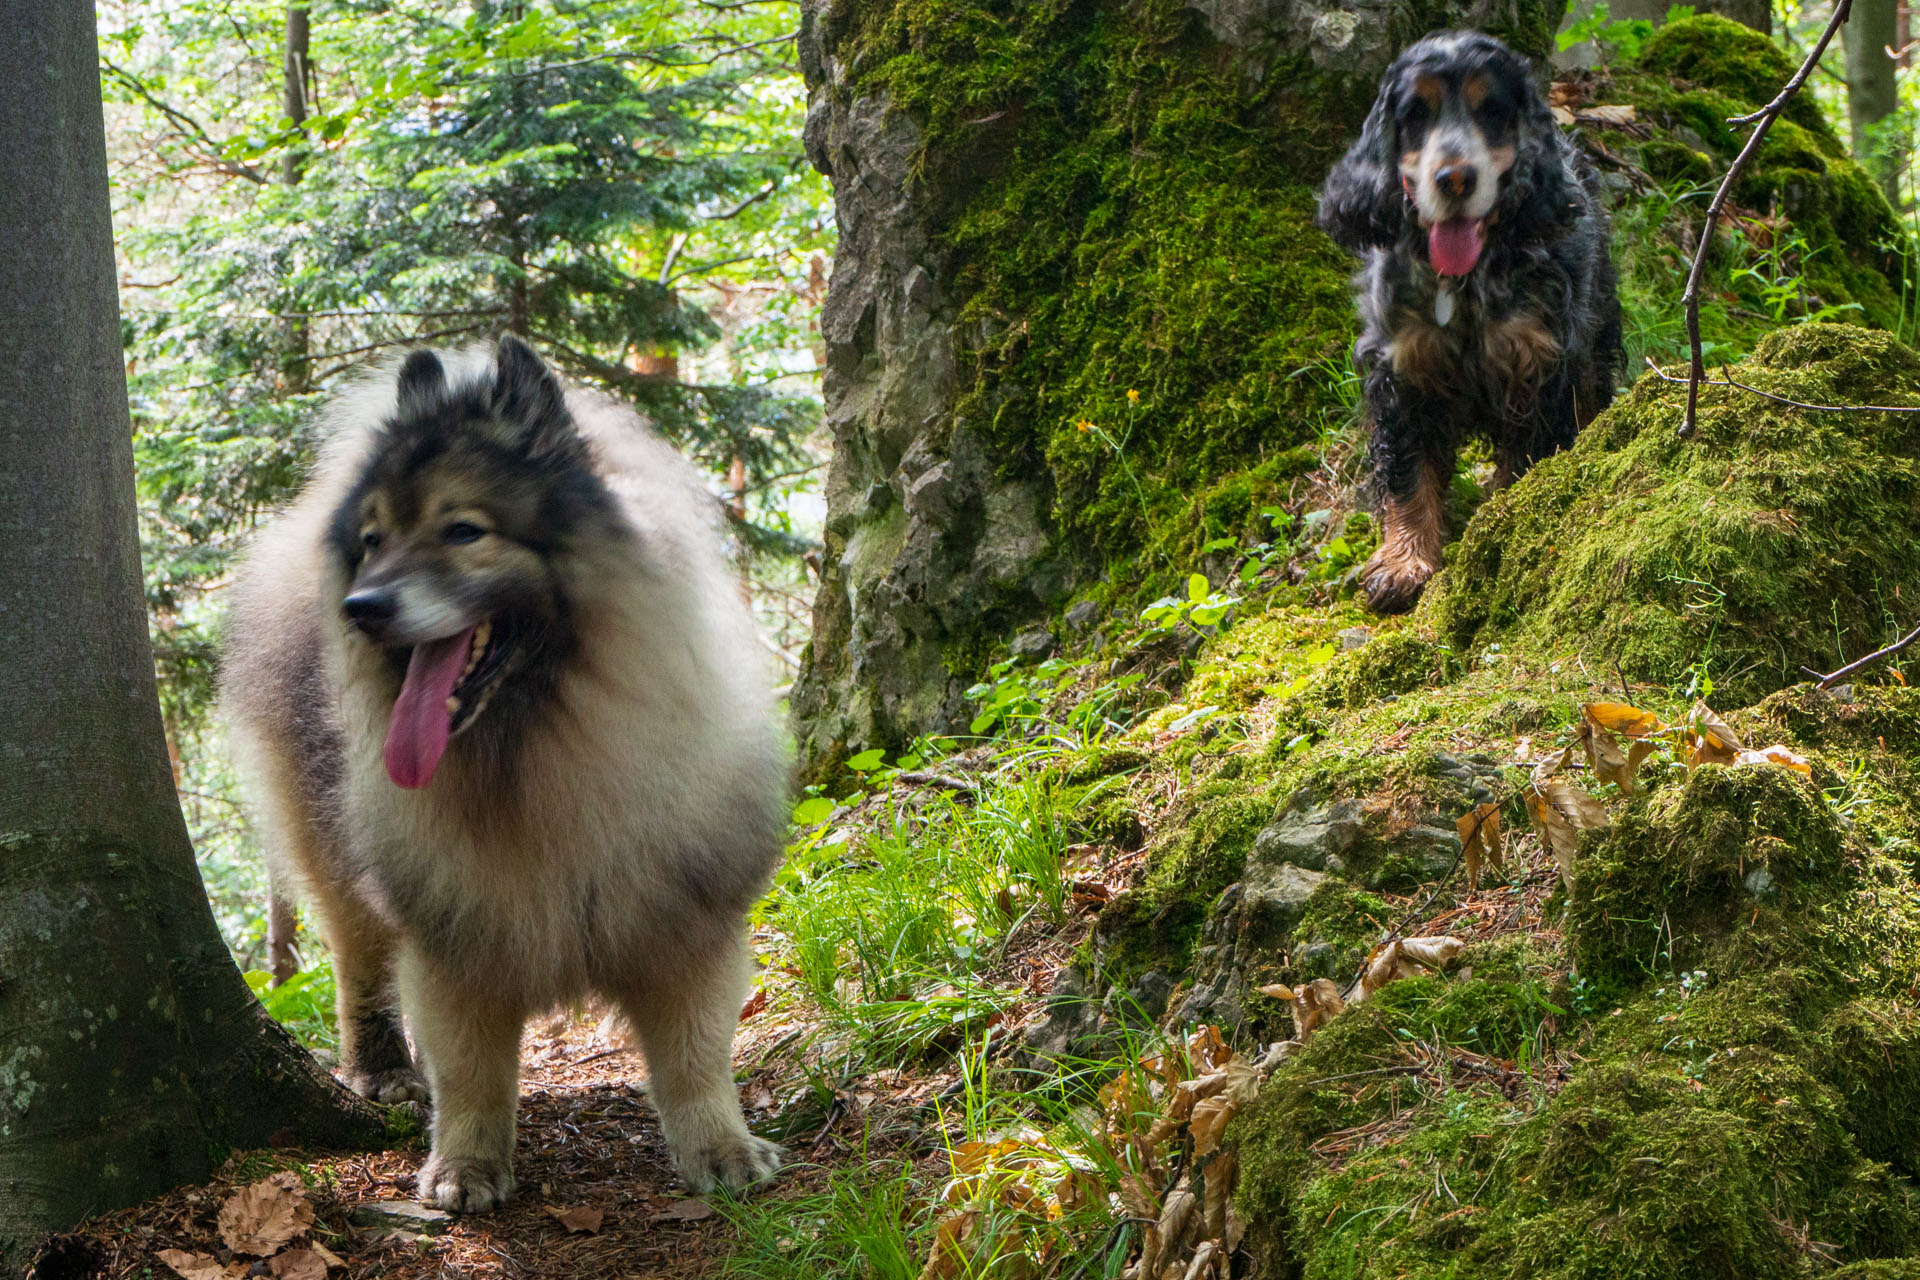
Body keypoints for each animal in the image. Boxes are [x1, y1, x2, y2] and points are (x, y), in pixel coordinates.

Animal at [222, 333, 787, 1212]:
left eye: (463, 530)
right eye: (374, 539)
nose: (362, 607)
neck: (539, 742)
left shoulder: (686, 919)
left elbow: (697, 1057)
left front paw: (719, 1147)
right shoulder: (457, 939)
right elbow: (473, 1074)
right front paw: (466, 1166)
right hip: (335, 853)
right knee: (361, 967)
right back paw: (383, 1070)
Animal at [1320, 28, 1620, 610]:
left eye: (1493, 110)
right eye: (1416, 112)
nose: (1454, 179)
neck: (1463, 282)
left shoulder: (1541, 363)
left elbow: (1526, 459)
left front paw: (1503, 520)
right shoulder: (1401, 371)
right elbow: (1407, 470)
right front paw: (1404, 562)